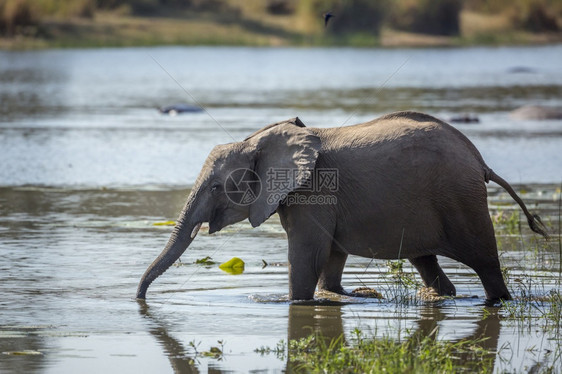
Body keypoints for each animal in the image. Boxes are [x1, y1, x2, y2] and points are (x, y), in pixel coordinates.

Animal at [137, 111, 548, 300]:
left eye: (217, 186)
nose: (139, 301)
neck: (259, 139)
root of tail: (480, 161)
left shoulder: (311, 194)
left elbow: (307, 257)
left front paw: (291, 302)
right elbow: (330, 260)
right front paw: (339, 296)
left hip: (461, 200)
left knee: (485, 263)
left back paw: (497, 300)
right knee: (427, 263)